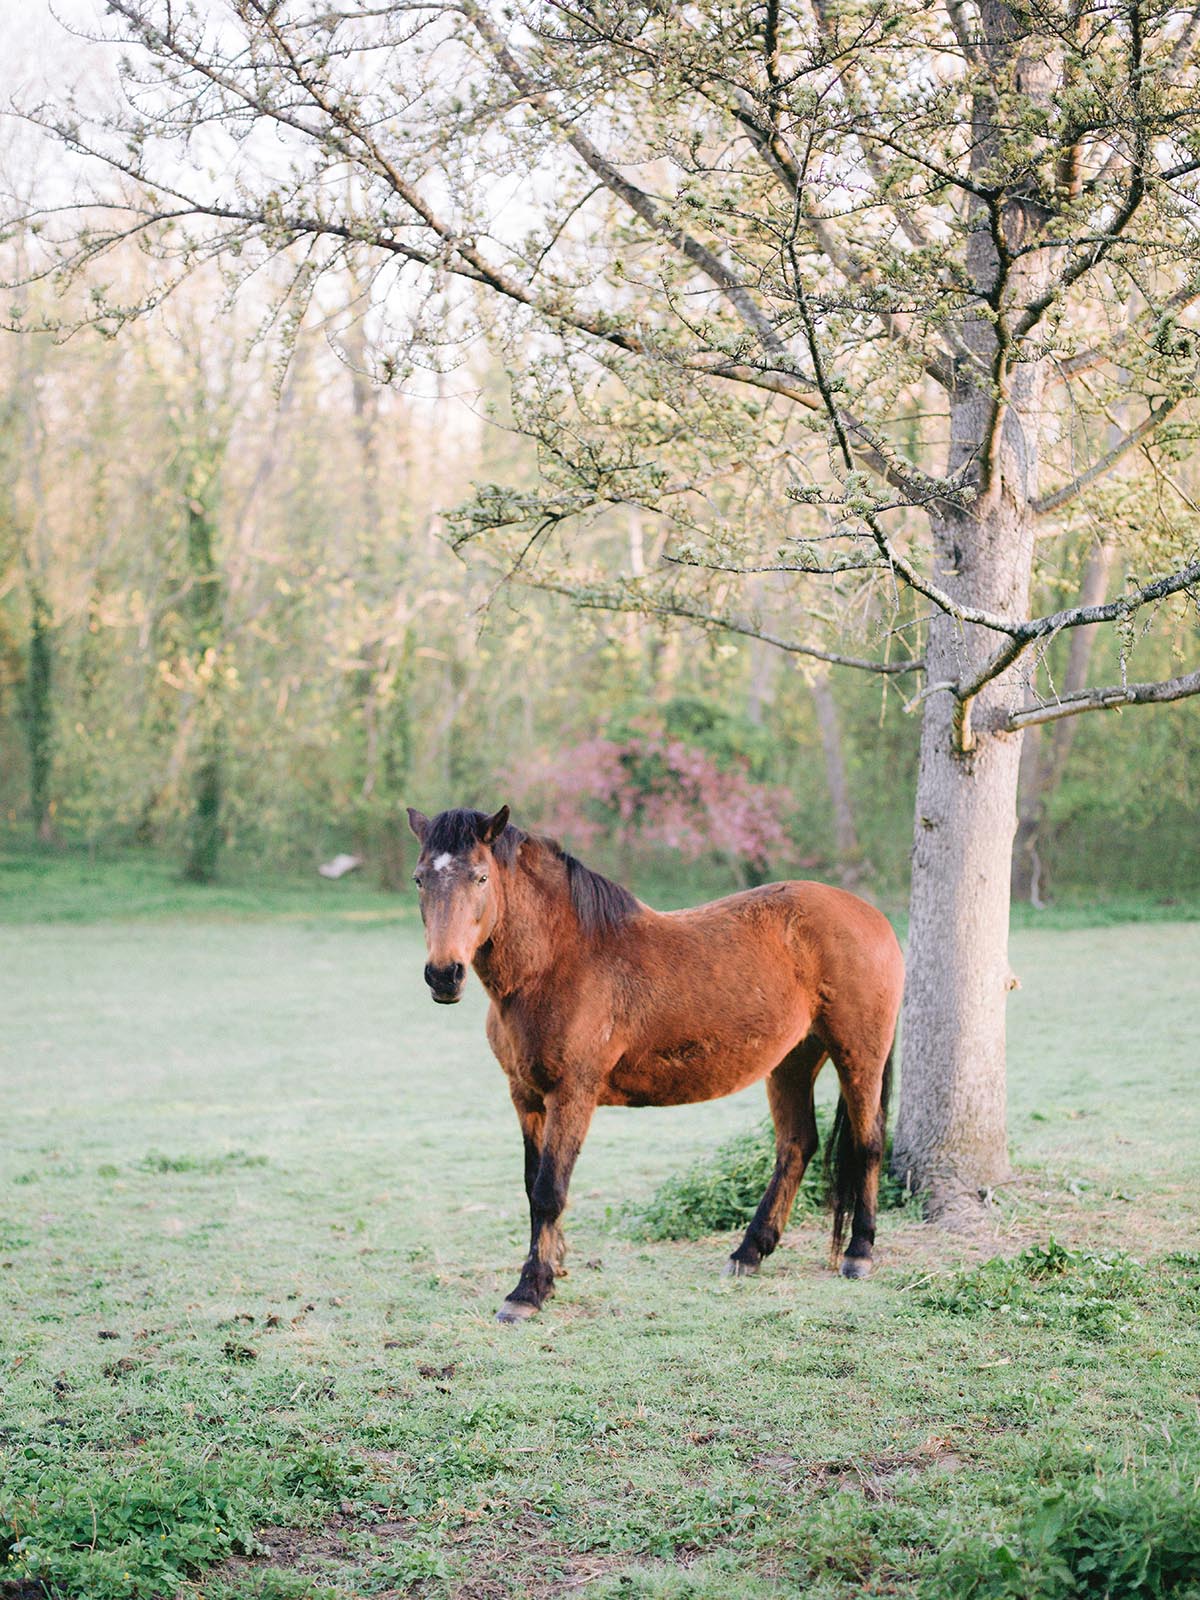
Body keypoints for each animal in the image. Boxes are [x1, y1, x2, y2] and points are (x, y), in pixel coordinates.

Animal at [409, 800, 908, 1324]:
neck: (557, 963)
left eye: (481, 877)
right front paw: (553, 1267)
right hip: (792, 1060)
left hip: (858, 1054)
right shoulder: (525, 1096)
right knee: (796, 1145)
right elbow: (532, 1185)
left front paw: (528, 1290)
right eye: (420, 878)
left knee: (868, 1142)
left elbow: (549, 1191)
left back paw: (859, 1253)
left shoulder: (572, 1094)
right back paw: (749, 1252)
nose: (444, 975)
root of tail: (870, 916)